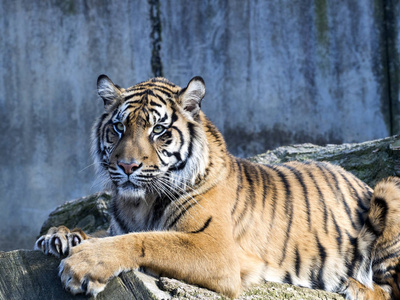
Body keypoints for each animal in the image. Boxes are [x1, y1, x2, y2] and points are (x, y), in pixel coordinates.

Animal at [34, 74, 400, 298]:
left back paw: (355, 287)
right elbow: (104, 232)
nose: (126, 166)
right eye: (119, 127)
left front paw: (83, 264)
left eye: (158, 130)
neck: (139, 204)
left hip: (389, 190)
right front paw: (61, 235)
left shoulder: (214, 248)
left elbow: (147, 239)